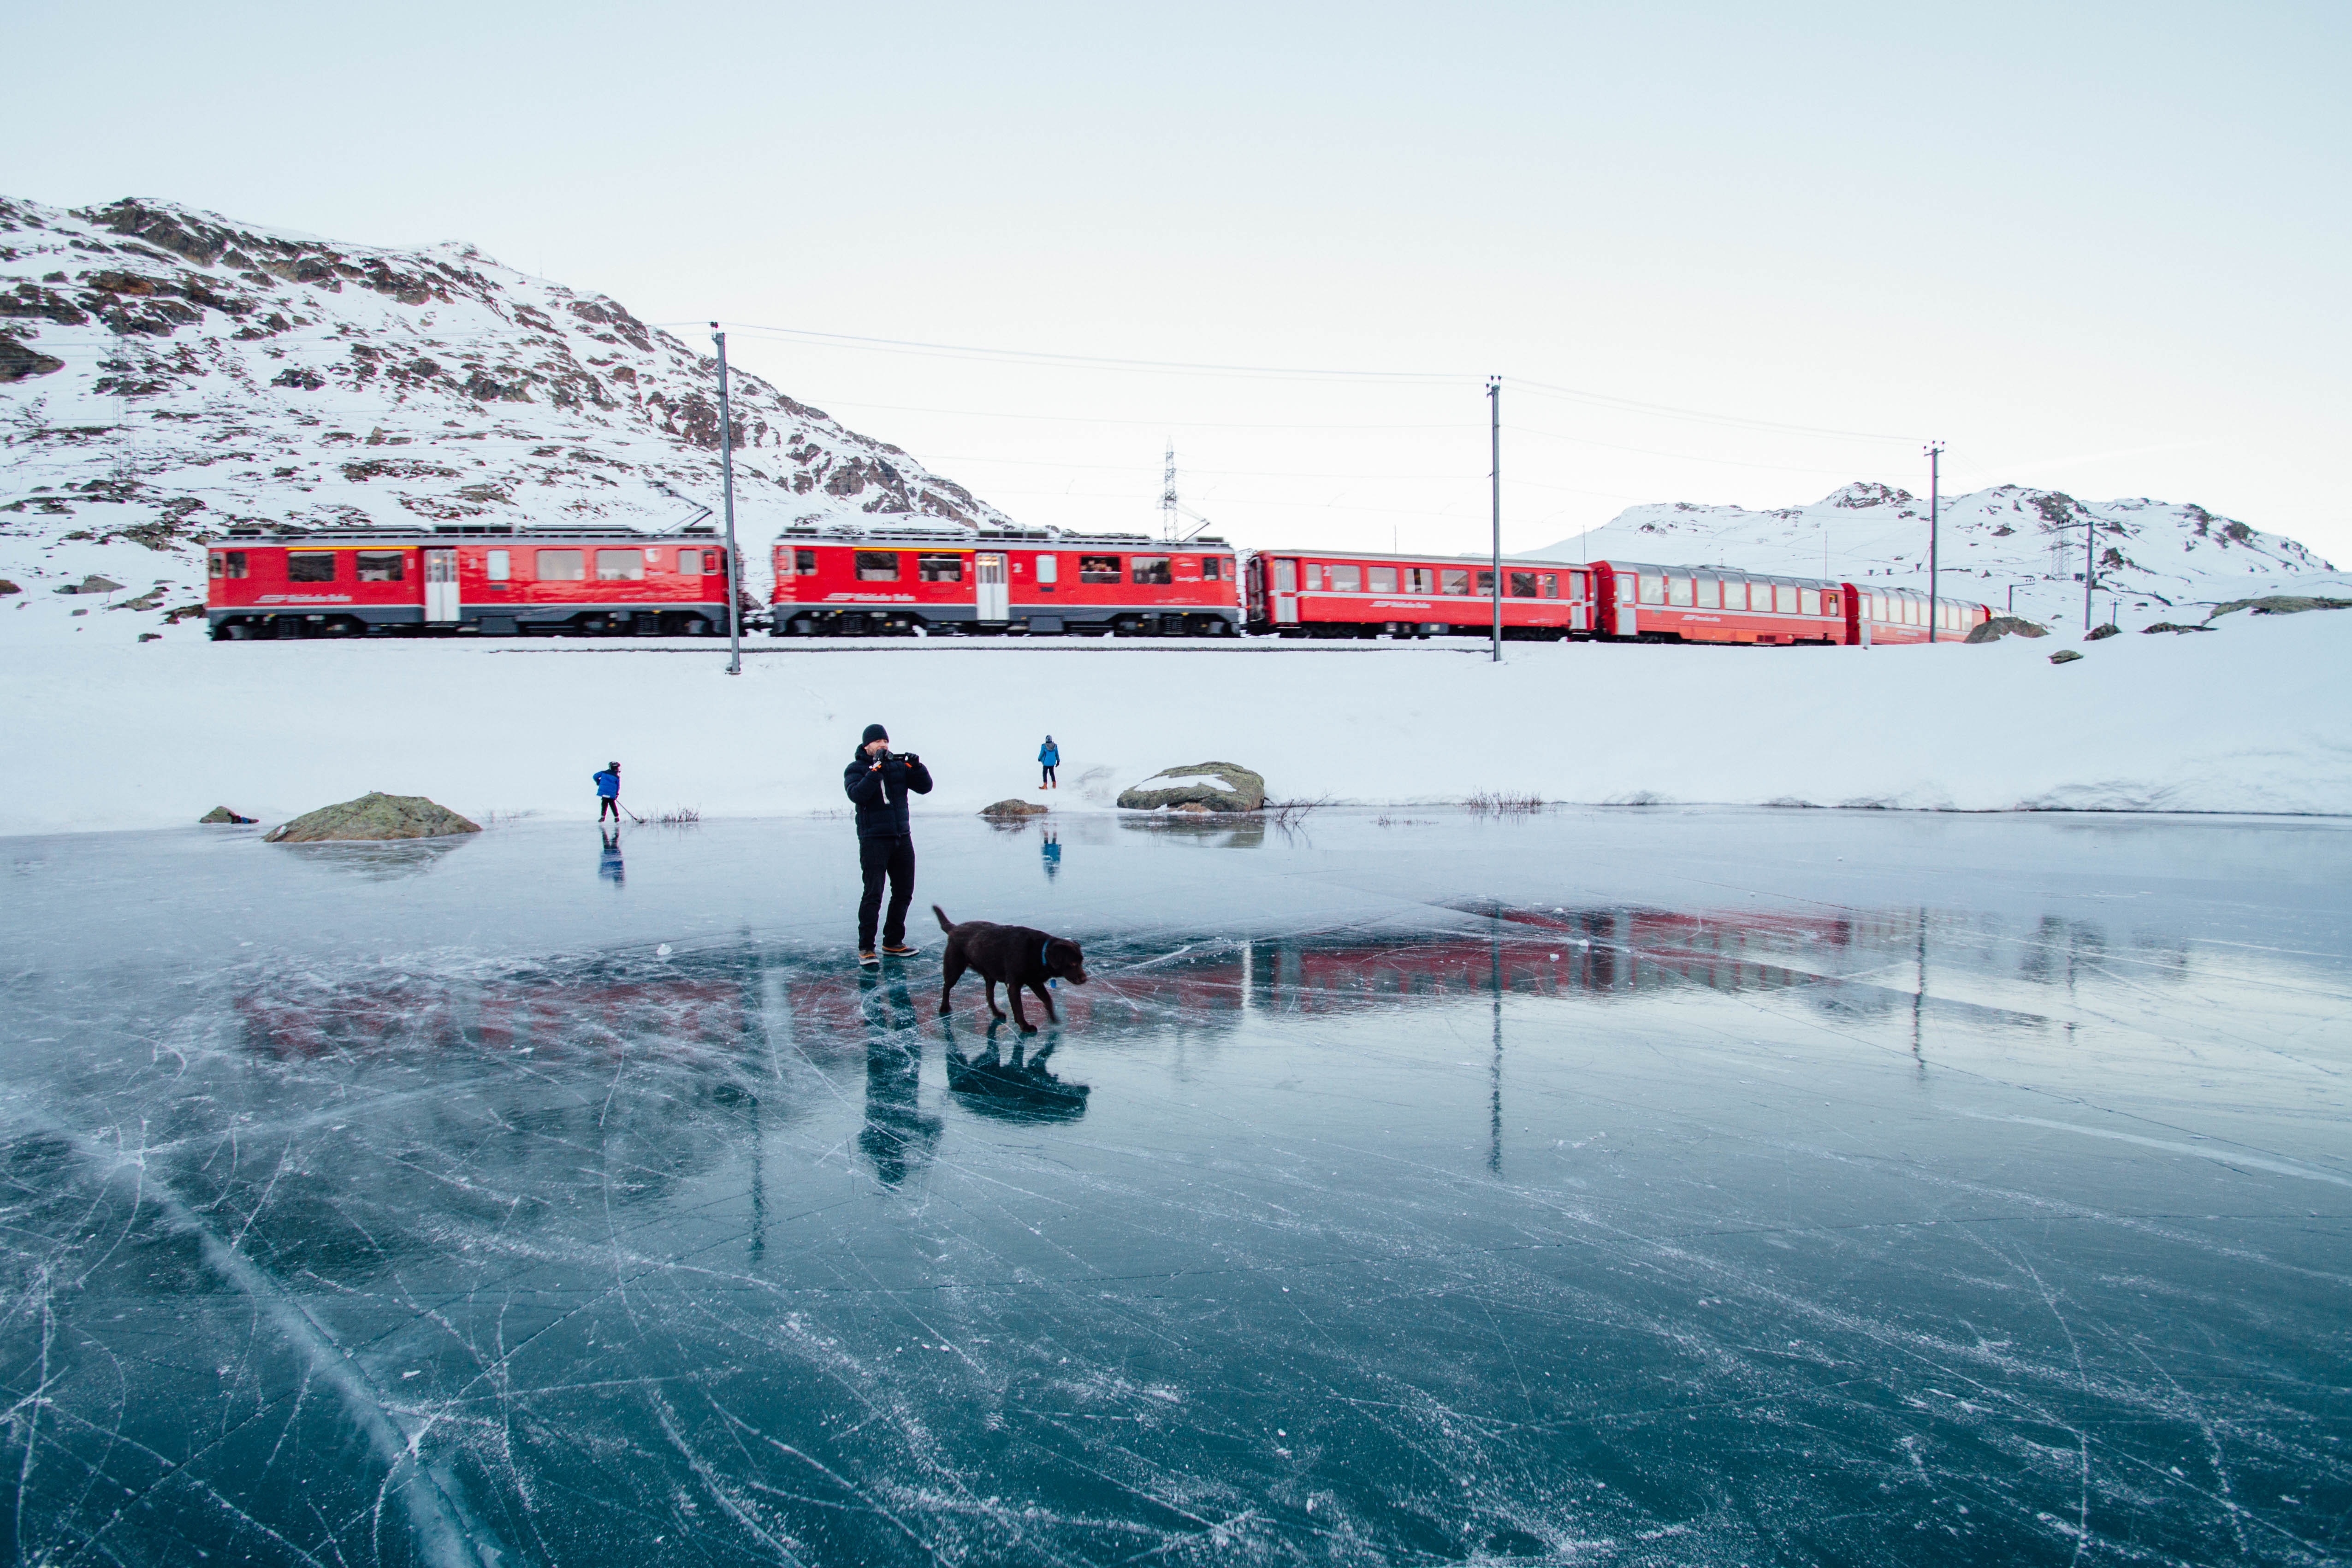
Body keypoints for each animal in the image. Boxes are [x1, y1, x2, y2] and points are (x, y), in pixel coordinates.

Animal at [931, 907, 1086, 1030]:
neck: (1039, 952)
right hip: (954, 969)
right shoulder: (1013, 985)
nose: (1085, 979)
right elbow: (1019, 1008)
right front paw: (1025, 1026)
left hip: (990, 976)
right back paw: (944, 1007)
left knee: (989, 996)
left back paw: (997, 1013)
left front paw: (1054, 1019)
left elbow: (1048, 999)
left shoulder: (1035, 982)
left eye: (1082, 961)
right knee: (946, 987)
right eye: (1073, 963)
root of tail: (954, 928)